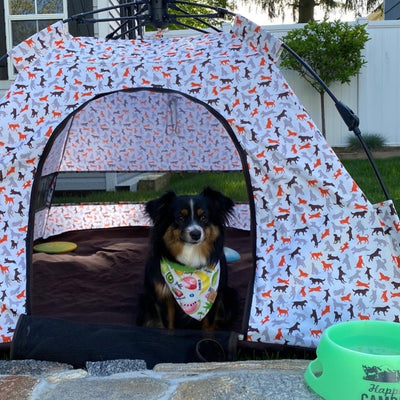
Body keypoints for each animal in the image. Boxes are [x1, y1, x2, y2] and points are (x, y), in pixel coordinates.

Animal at [138, 188, 238, 332]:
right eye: (180, 218)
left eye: (204, 218)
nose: (196, 234)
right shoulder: (163, 297)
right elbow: (168, 327)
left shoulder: (214, 296)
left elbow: (208, 326)